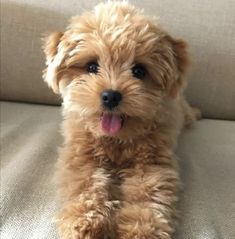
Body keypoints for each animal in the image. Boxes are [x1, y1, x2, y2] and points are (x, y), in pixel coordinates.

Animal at [42, 0, 200, 238]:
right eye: (91, 66)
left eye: (139, 71)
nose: (111, 96)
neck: (116, 140)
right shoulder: (81, 158)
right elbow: (86, 185)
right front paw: (86, 223)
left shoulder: (151, 163)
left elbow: (148, 195)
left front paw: (143, 230)